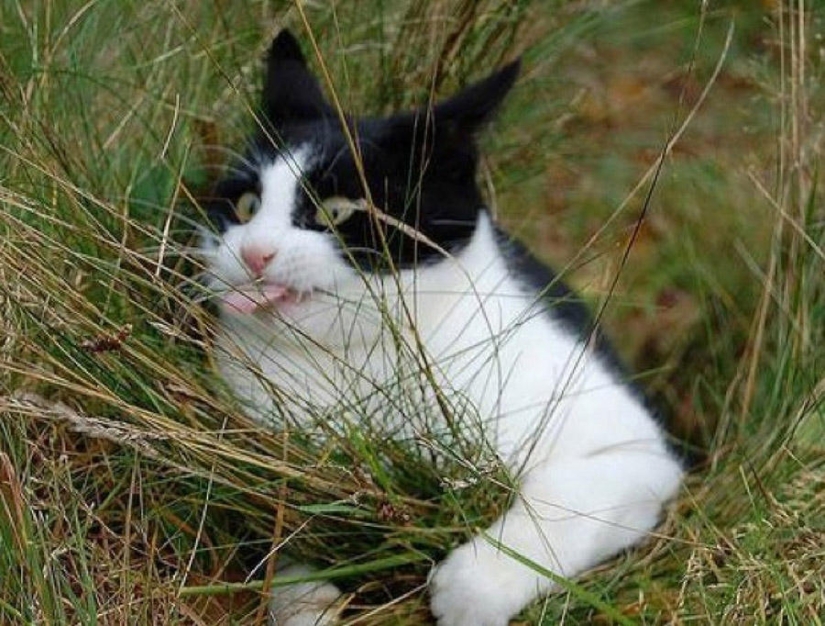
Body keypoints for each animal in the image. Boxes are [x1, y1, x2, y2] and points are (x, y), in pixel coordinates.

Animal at [200, 30, 684, 626]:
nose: (254, 253)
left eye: (336, 211)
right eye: (245, 206)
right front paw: (306, 599)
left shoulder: (636, 454)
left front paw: (470, 588)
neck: (360, 361)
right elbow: (279, 530)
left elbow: (561, 502)